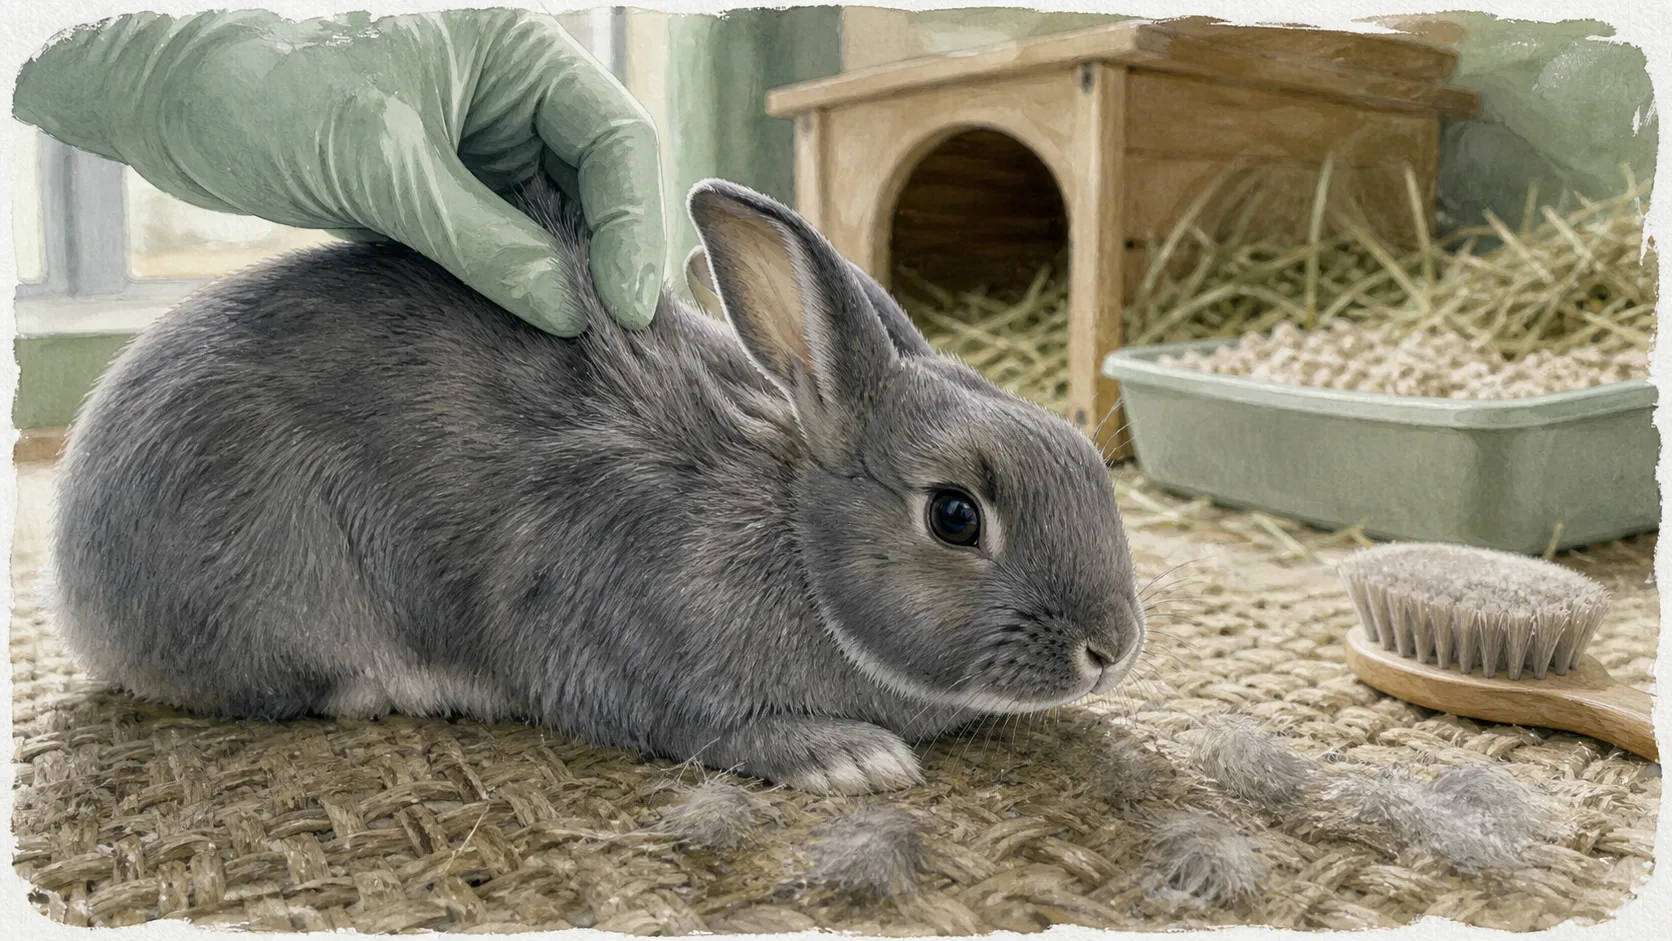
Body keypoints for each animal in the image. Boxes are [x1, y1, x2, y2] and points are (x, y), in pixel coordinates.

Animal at [49, 172, 1147, 795]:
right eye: (955, 514)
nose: (1113, 649)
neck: (795, 537)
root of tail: (75, 584)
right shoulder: (621, 636)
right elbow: (700, 727)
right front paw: (847, 756)